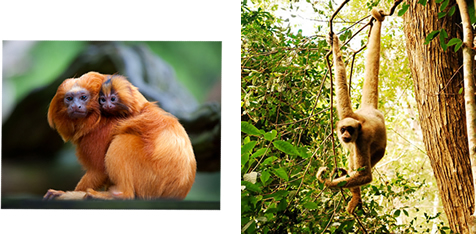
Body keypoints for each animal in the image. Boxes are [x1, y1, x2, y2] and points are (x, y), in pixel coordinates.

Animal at [316, 8, 386, 214]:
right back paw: (355, 196)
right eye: (342, 129)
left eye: (350, 130)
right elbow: (340, 84)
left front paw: (326, 181)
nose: (345, 135)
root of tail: (369, 109)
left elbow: (365, 176)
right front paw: (334, 43)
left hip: (379, 150)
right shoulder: (345, 115)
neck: (357, 120)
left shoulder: (361, 138)